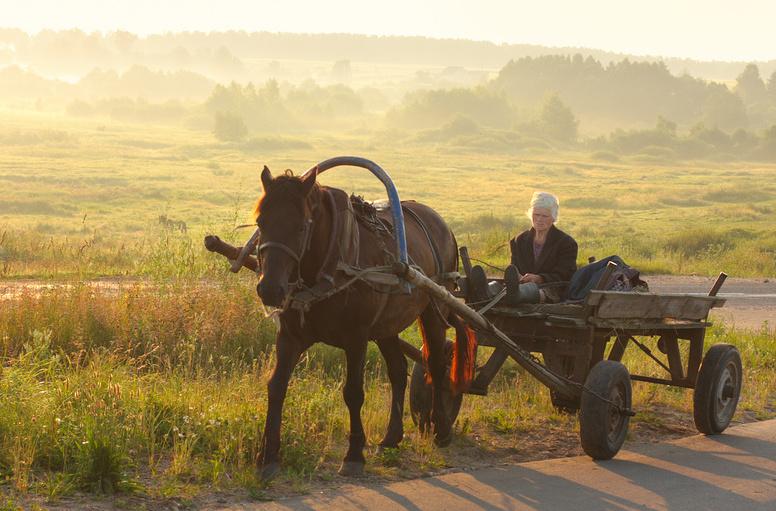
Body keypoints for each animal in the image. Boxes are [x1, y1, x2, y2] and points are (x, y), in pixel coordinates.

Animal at [221, 166, 472, 478]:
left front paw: (353, 454)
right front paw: (268, 456)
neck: (329, 265)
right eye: (260, 222)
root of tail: (443, 225)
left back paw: (442, 428)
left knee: (436, 366)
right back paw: (392, 437)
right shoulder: (290, 337)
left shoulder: (356, 339)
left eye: (301, 226)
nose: (269, 289)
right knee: (398, 370)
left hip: (434, 309)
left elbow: (353, 392)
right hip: (386, 327)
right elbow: (276, 386)